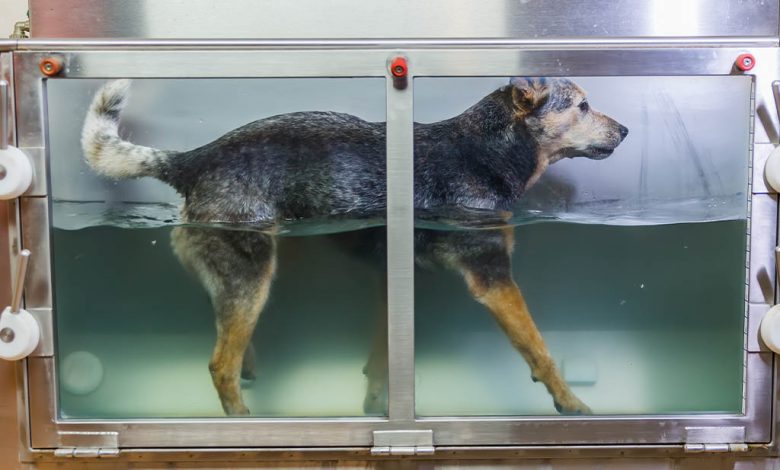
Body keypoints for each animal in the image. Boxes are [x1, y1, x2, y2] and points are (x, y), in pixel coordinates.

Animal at [80, 79, 628, 416]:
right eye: (582, 106)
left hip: (241, 279)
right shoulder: (492, 278)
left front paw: (375, 395)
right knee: (220, 366)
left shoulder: (398, 279)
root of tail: (192, 160)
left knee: (227, 337)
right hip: (253, 272)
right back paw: (243, 421)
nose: (625, 129)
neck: (486, 148)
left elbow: (383, 351)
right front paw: (571, 404)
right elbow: (539, 348)